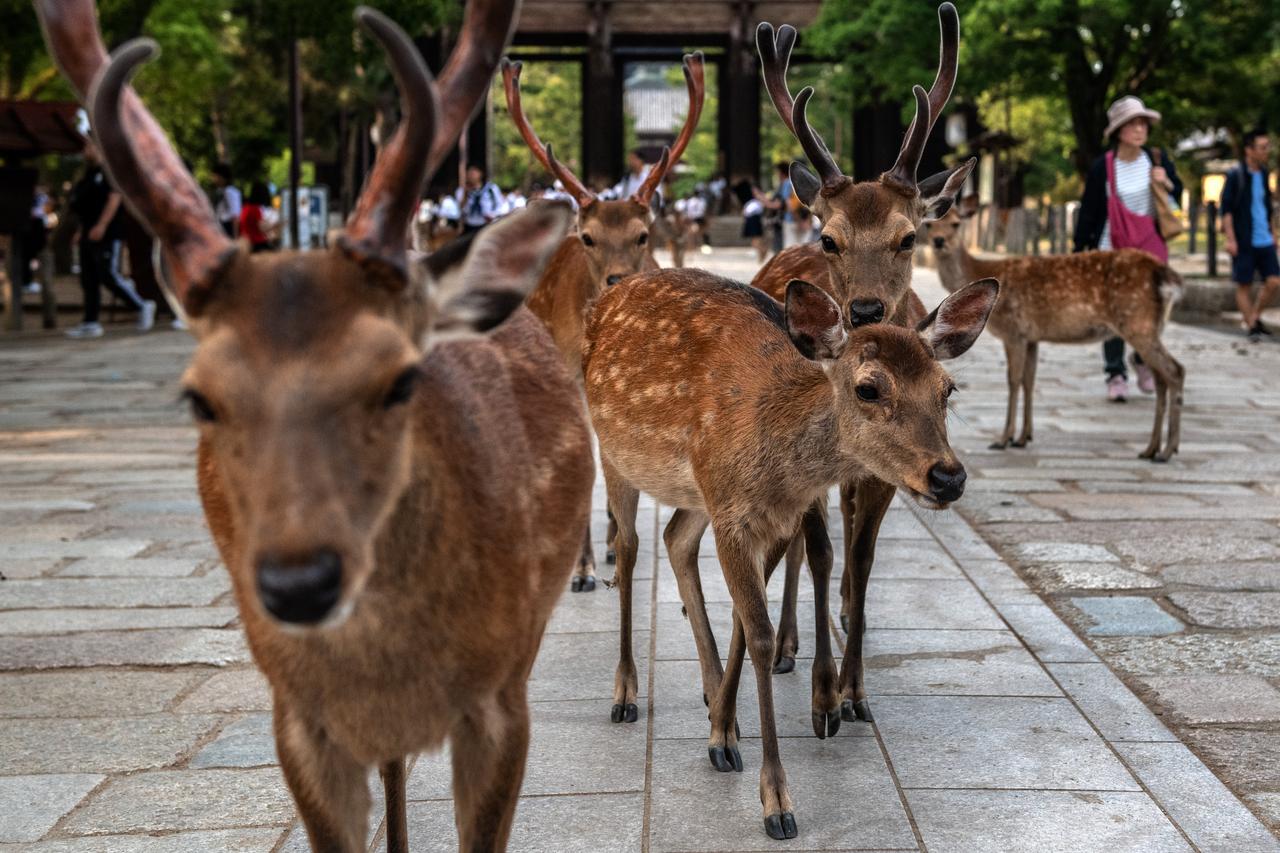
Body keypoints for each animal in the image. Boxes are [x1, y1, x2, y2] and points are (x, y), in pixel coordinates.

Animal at [586, 272, 998, 835]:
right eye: (868, 387)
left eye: (947, 389)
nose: (948, 477)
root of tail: (607, 294)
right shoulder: (732, 514)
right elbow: (759, 636)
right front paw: (776, 801)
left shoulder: (770, 514)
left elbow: (746, 621)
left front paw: (722, 730)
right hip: (615, 453)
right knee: (627, 551)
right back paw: (625, 694)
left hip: (694, 493)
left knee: (675, 538)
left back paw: (711, 692)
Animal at [752, 3, 972, 727]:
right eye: (830, 237)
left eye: (909, 236)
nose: (868, 308)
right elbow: (819, 549)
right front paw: (824, 695)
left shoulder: (889, 472)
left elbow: (865, 557)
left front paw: (856, 692)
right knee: (803, 541)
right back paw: (788, 645)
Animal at [926, 201, 1182, 458]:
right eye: (929, 224)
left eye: (956, 223)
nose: (938, 241)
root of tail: (1166, 276)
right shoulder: (1032, 337)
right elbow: (1029, 380)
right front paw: (1024, 437)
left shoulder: (1014, 331)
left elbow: (1013, 380)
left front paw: (1004, 438)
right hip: (1150, 326)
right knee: (1161, 377)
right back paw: (1151, 449)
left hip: (1137, 322)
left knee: (1175, 370)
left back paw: (1168, 450)